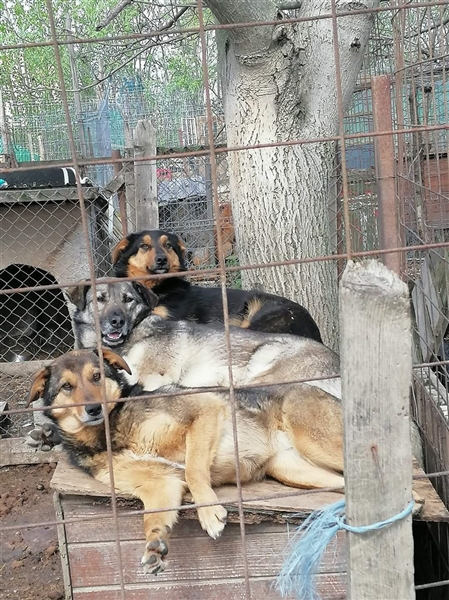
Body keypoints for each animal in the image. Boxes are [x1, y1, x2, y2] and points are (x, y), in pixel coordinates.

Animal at [27, 348, 345, 575]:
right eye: (67, 386)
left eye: (96, 377)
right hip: (295, 471)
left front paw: (210, 513)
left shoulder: (204, 410)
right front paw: (154, 545)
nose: (93, 408)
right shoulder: (159, 483)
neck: (109, 431)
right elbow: (152, 517)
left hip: (314, 440)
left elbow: (193, 470)